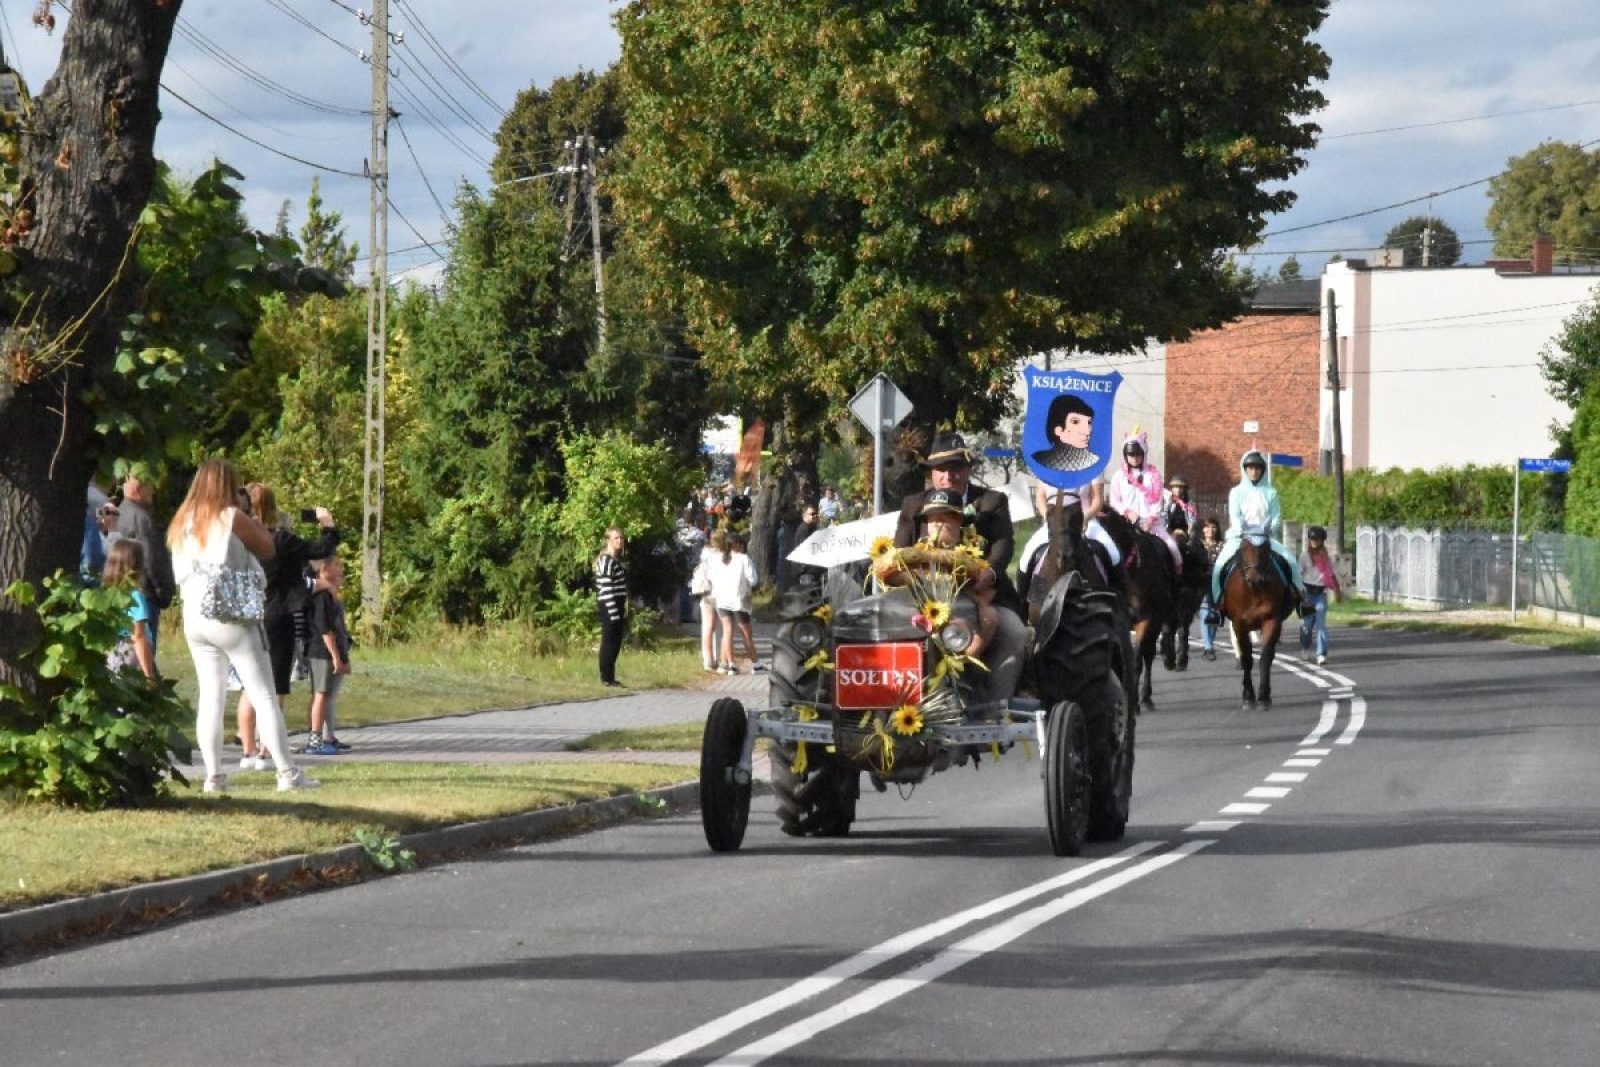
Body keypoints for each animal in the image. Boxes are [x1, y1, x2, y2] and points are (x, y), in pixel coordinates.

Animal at [1217, 532, 1295, 709]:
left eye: (1265, 548)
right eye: (1243, 548)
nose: (1255, 579)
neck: (1253, 591)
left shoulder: (1272, 621)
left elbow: (1265, 658)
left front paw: (1263, 697)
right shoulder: (1239, 624)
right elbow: (1247, 658)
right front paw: (1248, 697)